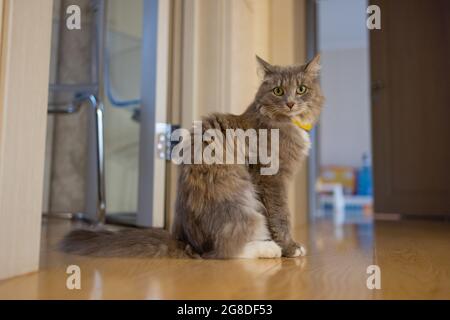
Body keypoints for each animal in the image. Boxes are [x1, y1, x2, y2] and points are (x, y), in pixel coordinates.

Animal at [61, 55, 326, 258]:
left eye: (301, 89)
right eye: (278, 91)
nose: (290, 103)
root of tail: (187, 241)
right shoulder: (271, 179)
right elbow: (281, 217)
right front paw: (290, 248)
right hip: (243, 203)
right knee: (225, 251)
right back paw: (268, 249)